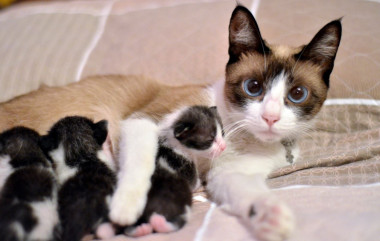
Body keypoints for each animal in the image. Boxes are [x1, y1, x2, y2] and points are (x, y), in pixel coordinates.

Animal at [122, 106, 226, 237]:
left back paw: (141, 230)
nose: (224, 146)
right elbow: (195, 183)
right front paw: (200, 182)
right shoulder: (188, 170)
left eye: (223, 133)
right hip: (182, 199)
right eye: (210, 140)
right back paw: (161, 223)